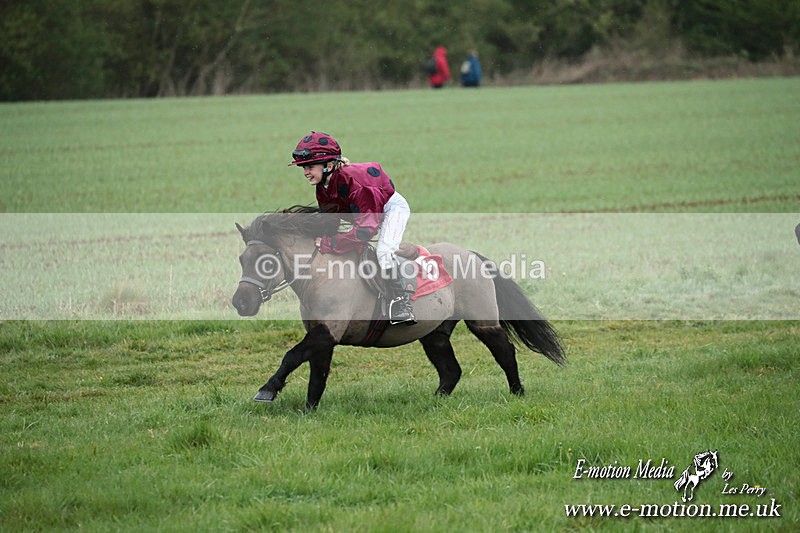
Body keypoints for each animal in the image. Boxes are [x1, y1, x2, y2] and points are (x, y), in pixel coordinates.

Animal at [231, 206, 565, 410]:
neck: (320, 273)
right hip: (435, 333)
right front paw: (309, 410)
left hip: (482, 320)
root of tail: (472, 254)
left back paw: (517, 392)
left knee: (505, 352)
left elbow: (291, 357)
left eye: (267, 262)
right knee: (450, 370)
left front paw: (266, 391)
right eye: (242, 260)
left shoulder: (326, 332)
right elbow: (317, 374)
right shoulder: (323, 335)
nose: (241, 302)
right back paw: (435, 402)